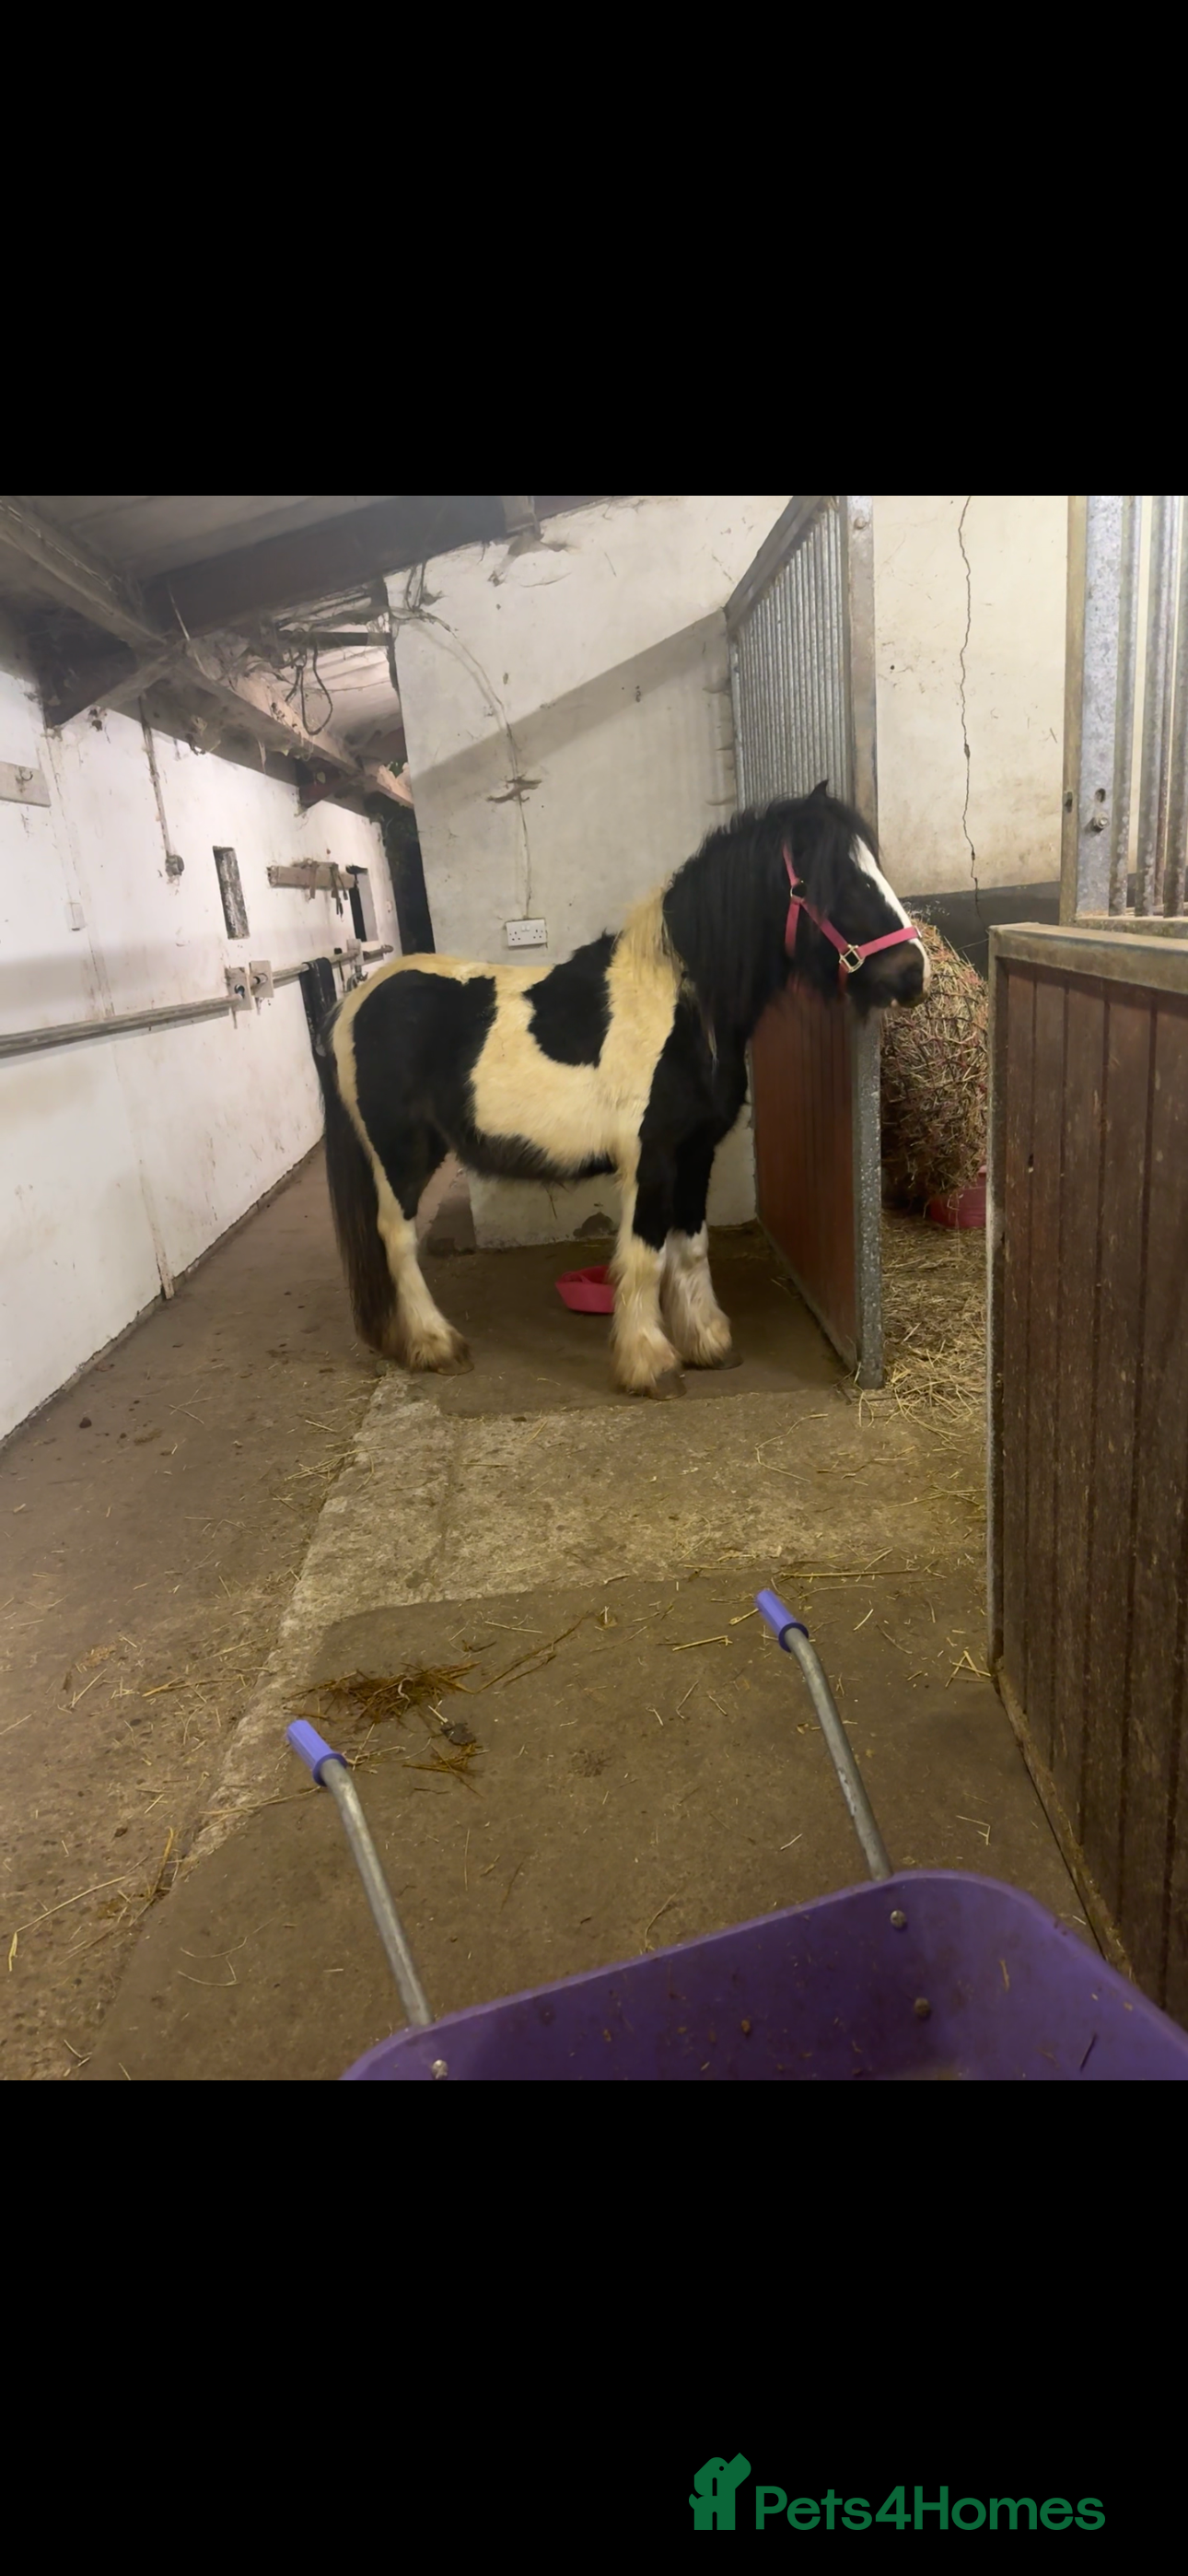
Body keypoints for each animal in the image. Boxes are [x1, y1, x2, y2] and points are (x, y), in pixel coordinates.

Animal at [316, 783, 929, 1399]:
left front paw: (708, 1342)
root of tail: (353, 1002)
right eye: (840, 882)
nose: (914, 973)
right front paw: (650, 1363)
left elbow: (691, 1248)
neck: (680, 1007)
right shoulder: (650, 1158)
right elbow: (643, 1257)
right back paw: (436, 1345)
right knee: (397, 1240)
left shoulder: (696, 1154)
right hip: (399, 1155)